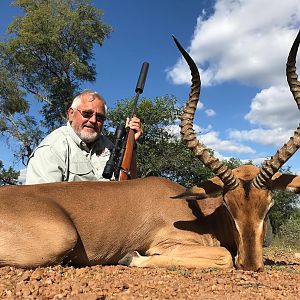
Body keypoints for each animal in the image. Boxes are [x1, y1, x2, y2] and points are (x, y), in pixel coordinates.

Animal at [0, 31, 300, 272]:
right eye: (227, 205)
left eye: (269, 205)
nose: (251, 265)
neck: (197, 214)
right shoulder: (169, 243)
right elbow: (224, 256)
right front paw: (130, 257)